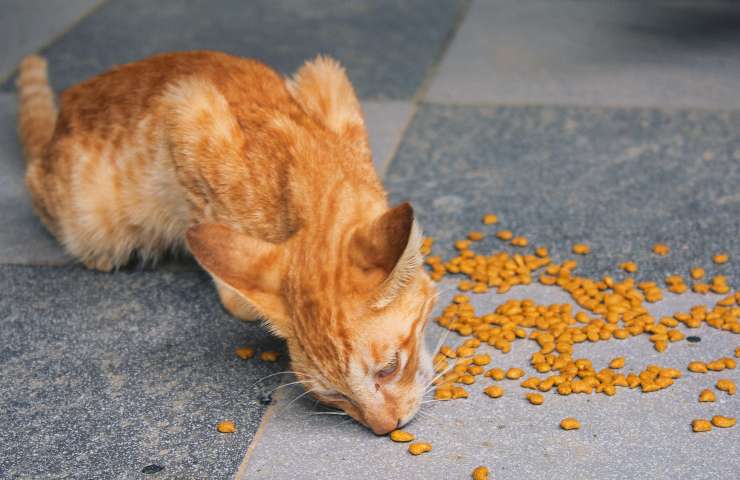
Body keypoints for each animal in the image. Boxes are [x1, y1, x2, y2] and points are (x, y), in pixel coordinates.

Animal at [17, 50, 440, 434]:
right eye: (335, 396)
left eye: (389, 368)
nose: (384, 428)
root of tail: (65, 109)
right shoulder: (183, 112)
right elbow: (210, 236)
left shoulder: (324, 74)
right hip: (85, 218)